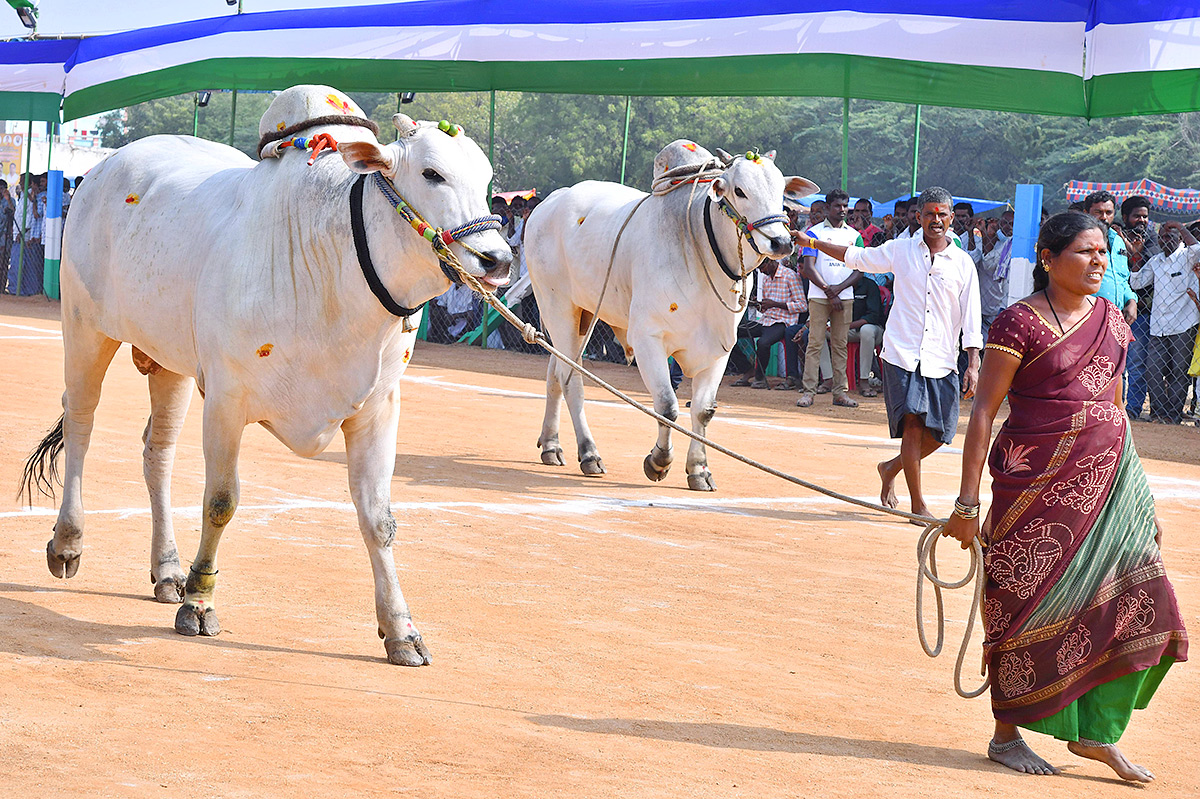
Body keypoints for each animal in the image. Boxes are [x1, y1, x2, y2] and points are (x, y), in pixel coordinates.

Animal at [22, 107, 511, 667]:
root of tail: (102, 171)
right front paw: (199, 602)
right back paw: (68, 543)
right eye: (432, 174)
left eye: (487, 180)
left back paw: (166, 568)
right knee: (81, 423)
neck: (333, 262)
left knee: (157, 451)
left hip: (170, 362)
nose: (498, 261)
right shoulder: (227, 399)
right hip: (84, 326)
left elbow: (379, 520)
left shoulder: (378, 409)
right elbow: (220, 502)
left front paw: (401, 630)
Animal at [525, 146, 816, 489]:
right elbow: (667, 406)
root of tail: (548, 204)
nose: (782, 242)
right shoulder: (647, 338)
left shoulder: (720, 348)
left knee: (555, 373)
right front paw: (658, 461)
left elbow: (703, 411)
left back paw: (551, 444)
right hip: (557, 306)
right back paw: (589, 453)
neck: (699, 245)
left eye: (782, 192)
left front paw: (699, 469)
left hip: (583, 315)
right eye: (740, 191)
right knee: (572, 380)